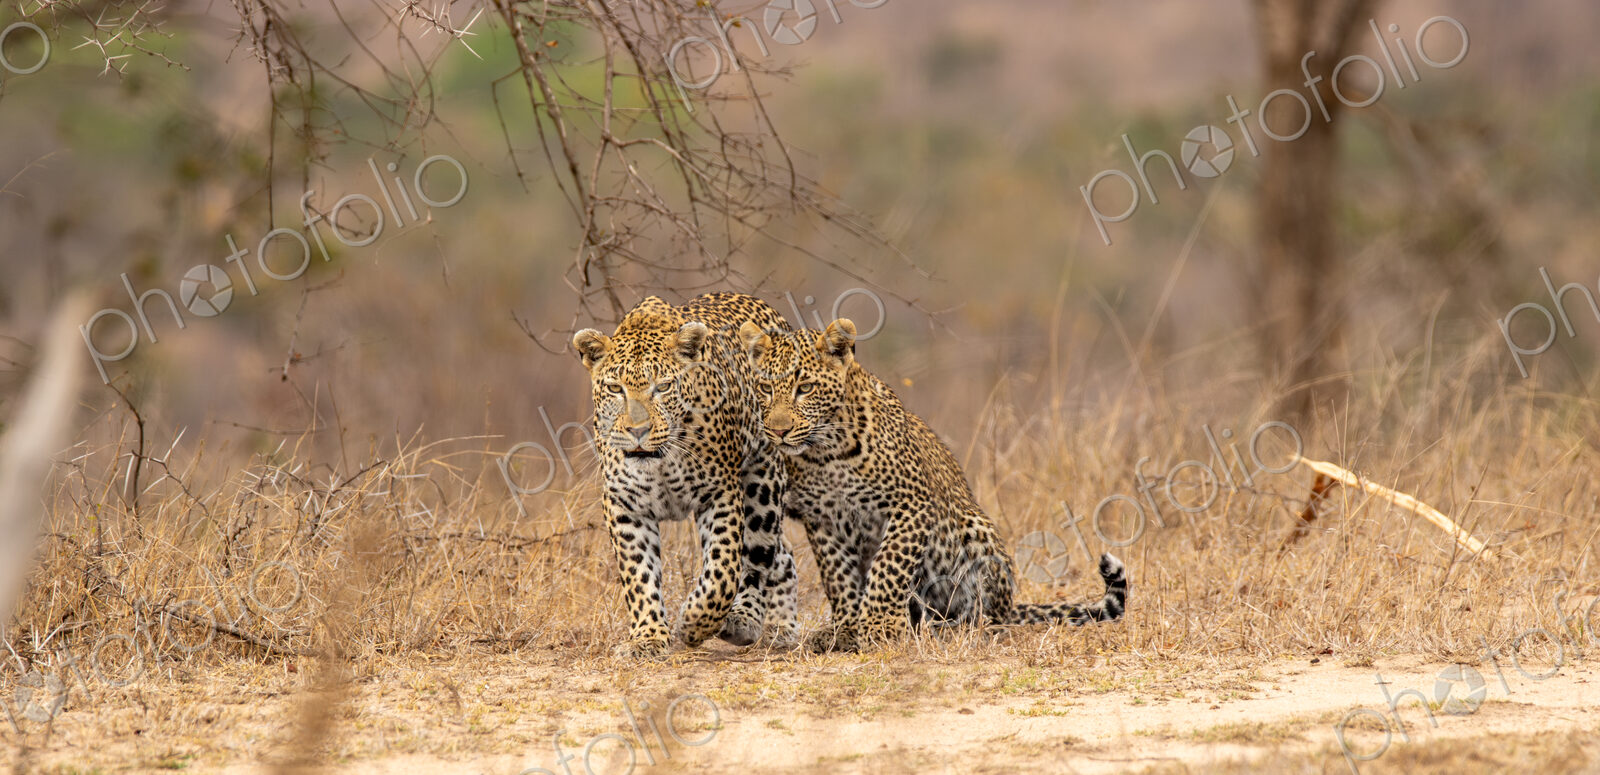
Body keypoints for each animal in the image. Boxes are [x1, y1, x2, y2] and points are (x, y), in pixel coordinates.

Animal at [572, 293, 799, 658]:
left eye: (663, 387)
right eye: (615, 388)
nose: (638, 431)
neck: (661, 462)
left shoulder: (721, 494)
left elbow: (723, 568)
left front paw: (695, 622)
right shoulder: (624, 505)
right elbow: (639, 574)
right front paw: (648, 637)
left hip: (763, 480)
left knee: (759, 555)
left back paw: (748, 621)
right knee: (784, 554)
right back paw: (780, 626)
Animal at [736, 317, 1128, 652]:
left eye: (805, 388)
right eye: (765, 388)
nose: (778, 431)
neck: (825, 453)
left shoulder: (911, 504)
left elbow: (888, 568)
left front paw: (878, 625)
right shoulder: (823, 520)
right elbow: (839, 577)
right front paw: (847, 627)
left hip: (975, 530)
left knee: (986, 616)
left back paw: (955, 628)